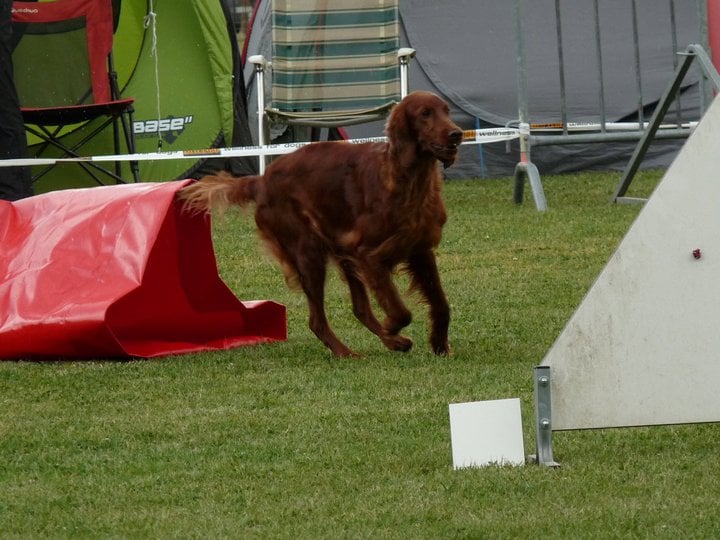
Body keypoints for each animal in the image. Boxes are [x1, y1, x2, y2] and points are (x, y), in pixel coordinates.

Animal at [179, 91, 463, 357]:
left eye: (447, 111)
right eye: (425, 113)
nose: (457, 134)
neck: (406, 178)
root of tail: (261, 181)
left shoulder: (418, 249)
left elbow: (441, 304)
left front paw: (439, 345)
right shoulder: (369, 256)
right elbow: (401, 310)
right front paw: (393, 325)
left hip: (339, 250)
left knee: (359, 309)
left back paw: (393, 342)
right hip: (309, 251)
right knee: (317, 320)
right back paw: (347, 352)